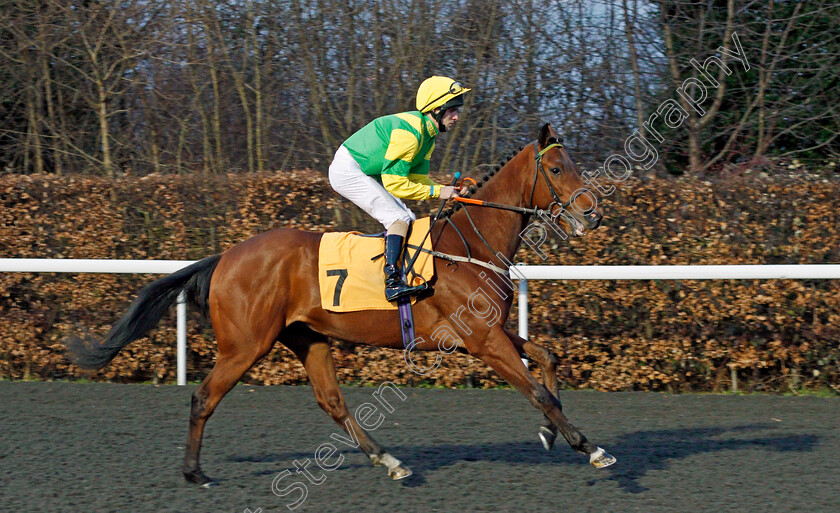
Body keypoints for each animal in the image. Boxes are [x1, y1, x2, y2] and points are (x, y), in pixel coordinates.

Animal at [67, 123, 616, 484]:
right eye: (556, 167)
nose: (593, 213)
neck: (470, 246)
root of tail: (226, 256)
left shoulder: (487, 333)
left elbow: (548, 357)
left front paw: (550, 433)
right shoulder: (481, 341)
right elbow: (539, 391)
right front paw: (589, 447)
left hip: (306, 337)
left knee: (331, 401)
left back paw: (389, 460)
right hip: (246, 345)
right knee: (204, 398)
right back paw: (194, 472)